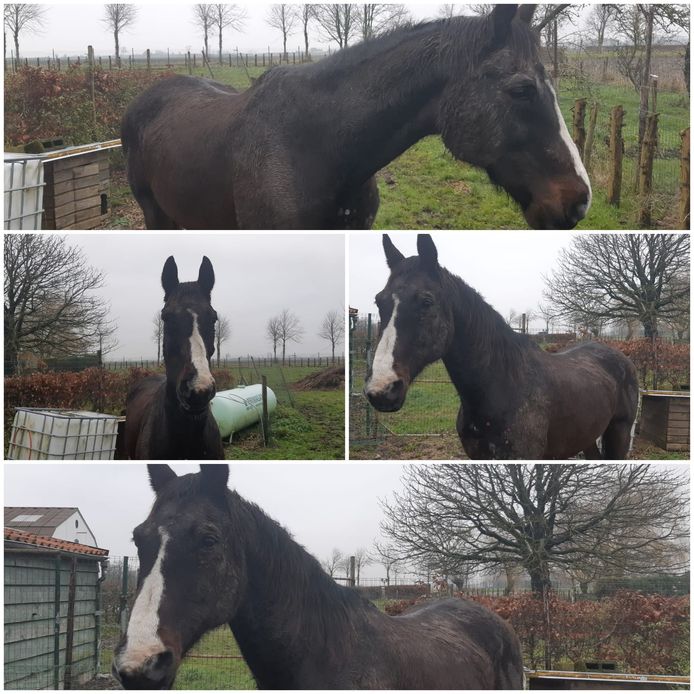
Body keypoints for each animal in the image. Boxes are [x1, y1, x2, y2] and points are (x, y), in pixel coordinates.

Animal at [364, 235, 640, 462]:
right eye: (378, 301)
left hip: (619, 433)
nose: (382, 389)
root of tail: (622, 358)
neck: (503, 385)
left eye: (426, 301)